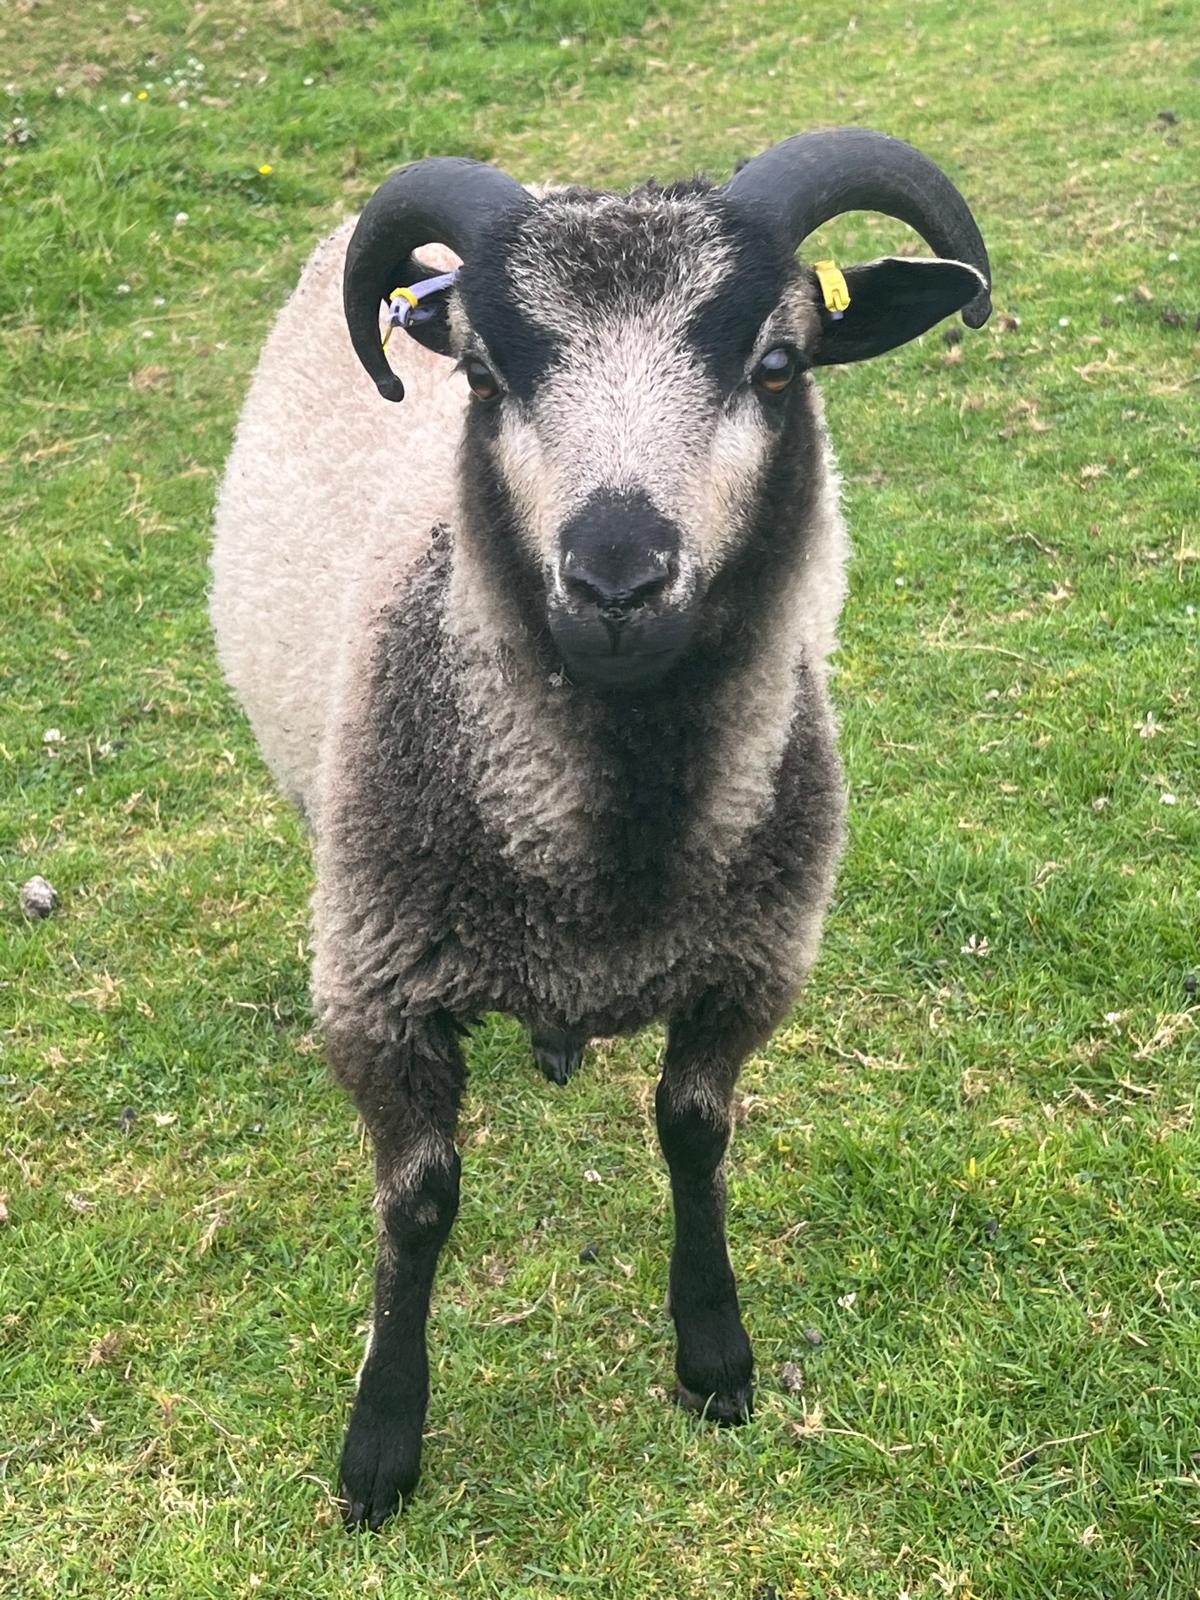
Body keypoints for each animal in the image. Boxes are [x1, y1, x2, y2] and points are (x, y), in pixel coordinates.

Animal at [210, 126, 991, 1530]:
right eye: (481, 372)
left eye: (777, 363)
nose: (617, 578)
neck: (611, 854)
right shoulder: (379, 991)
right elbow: (419, 1203)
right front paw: (380, 1446)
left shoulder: (749, 964)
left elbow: (694, 1133)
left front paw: (716, 1356)